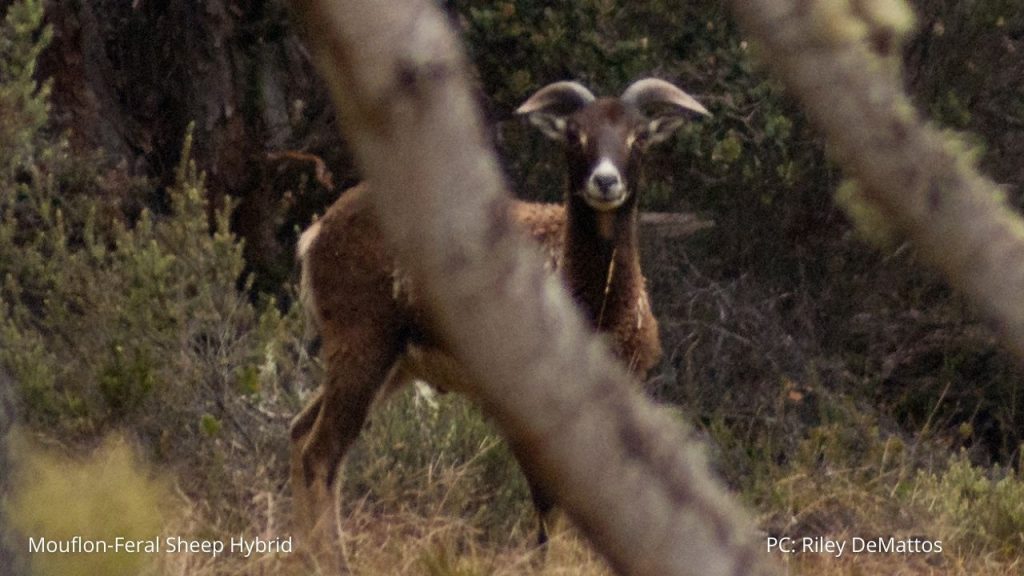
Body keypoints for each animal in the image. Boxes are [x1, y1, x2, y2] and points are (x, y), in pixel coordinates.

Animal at [290, 78, 710, 545]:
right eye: (574, 134)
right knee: (321, 452)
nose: (605, 181)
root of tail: (315, 235)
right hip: (361, 343)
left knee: (299, 433)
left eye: (639, 136)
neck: (595, 310)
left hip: (393, 363)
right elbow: (548, 514)